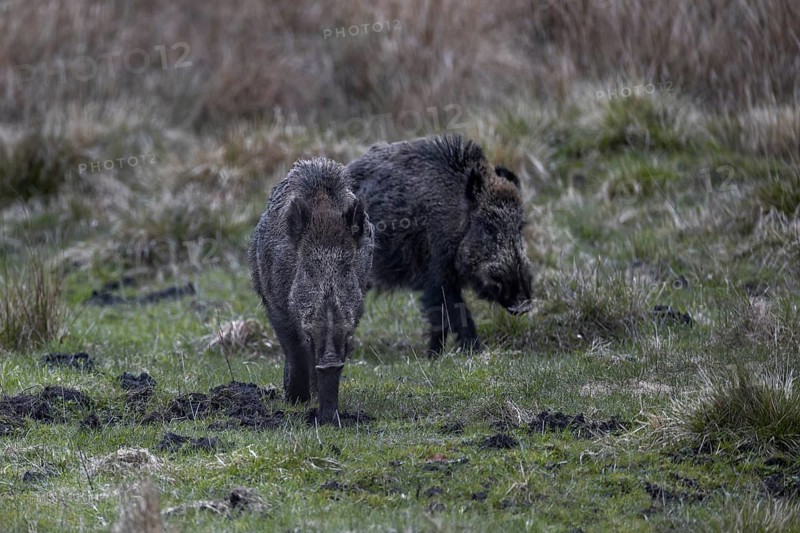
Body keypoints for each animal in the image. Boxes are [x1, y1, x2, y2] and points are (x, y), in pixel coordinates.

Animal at [248, 158, 374, 424]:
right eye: (308, 269)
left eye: (347, 269)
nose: (329, 359)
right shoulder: (277, 307)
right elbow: (294, 349)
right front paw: (296, 401)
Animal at [347, 135, 532, 356]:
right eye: (488, 228)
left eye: (519, 227)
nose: (523, 304)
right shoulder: (437, 275)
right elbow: (456, 314)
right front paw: (475, 351)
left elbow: (439, 321)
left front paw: (434, 356)